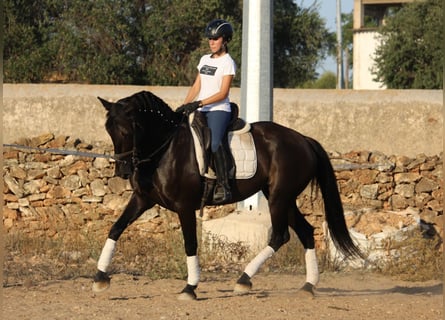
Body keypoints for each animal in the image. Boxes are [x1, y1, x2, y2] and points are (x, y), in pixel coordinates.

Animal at [92, 90, 360, 300]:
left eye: (130, 129)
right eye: (108, 129)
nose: (123, 170)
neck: (164, 148)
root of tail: (303, 139)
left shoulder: (184, 206)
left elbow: (190, 243)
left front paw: (190, 288)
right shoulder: (142, 199)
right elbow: (115, 228)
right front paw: (100, 277)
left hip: (279, 198)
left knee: (280, 235)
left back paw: (243, 280)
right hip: (283, 198)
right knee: (304, 231)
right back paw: (307, 285)